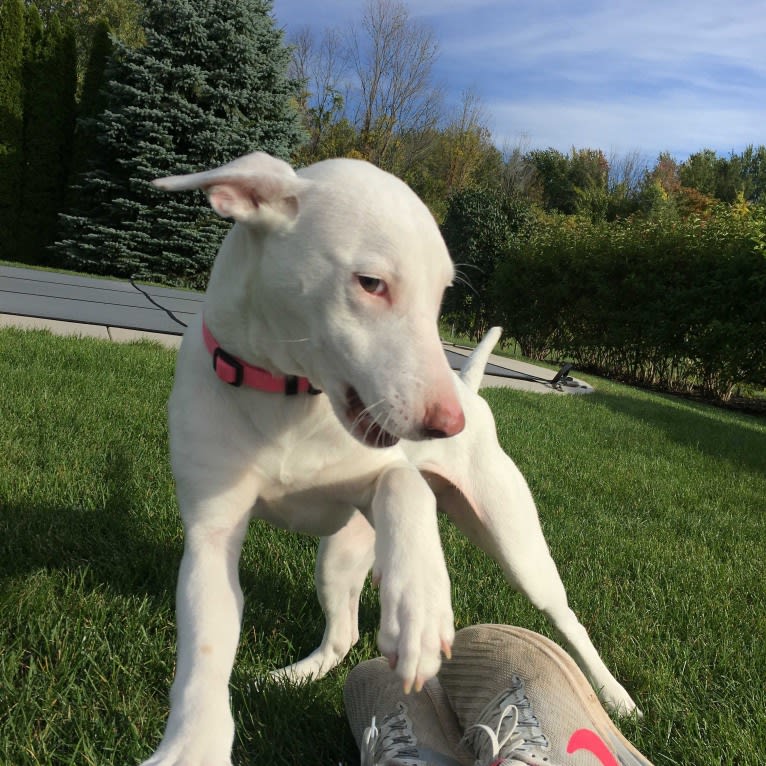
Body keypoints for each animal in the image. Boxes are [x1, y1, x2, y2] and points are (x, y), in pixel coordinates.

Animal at [144, 153, 636, 764]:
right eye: (372, 283)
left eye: (441, 298)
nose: (449, 423)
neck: (287, 398)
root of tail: (470, 388)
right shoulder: (211, 534)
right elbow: (206, 645)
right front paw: (193, 744)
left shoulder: (385, 472)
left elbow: (403, 482)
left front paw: (420, 611)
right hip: (339, 555)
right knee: (343, 633)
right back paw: (296, 675)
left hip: (517, 547)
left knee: (566, 617)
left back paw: (614, 696)